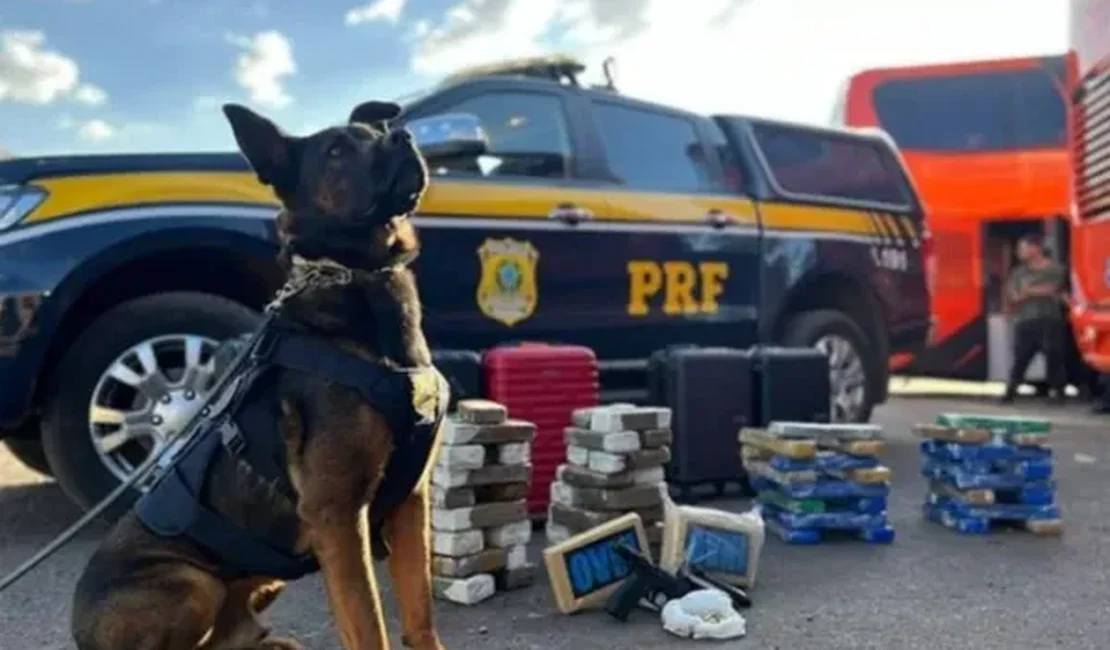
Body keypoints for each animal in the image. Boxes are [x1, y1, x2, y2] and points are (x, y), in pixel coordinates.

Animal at [70, 97, 446, 647]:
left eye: (376, 131)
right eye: (336, 151)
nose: (404, 138)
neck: (353, 277)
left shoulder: (410, 503)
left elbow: (419, 613)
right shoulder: (338, 517)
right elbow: (369, 624)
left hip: (257, 580)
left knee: (231, 633)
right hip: (191, 583)